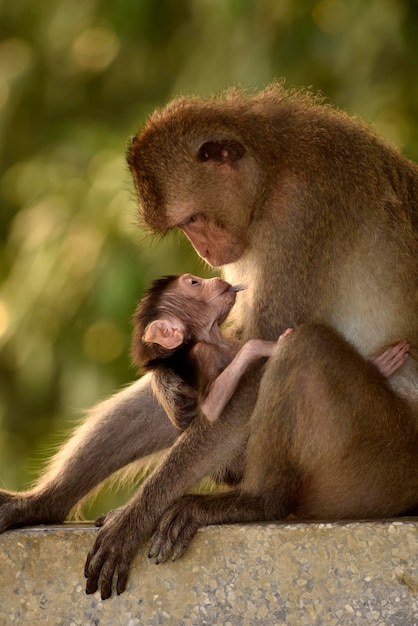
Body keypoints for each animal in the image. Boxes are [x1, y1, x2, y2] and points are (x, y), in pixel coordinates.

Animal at [132, 272, 410, 428]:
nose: (219, 279)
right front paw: (270, 346)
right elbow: (209, 408)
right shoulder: (202, 355)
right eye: (193, 282)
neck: (213, 339)